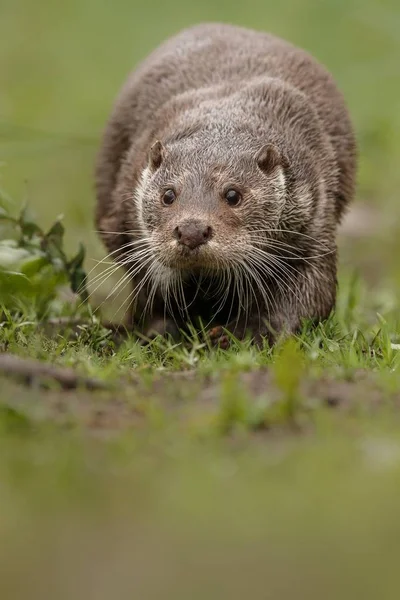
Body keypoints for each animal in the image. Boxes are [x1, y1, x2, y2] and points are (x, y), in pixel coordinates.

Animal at [94, 22, 356, 346]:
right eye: (168, 195)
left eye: (233, 195)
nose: (192, 230)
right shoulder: (122, 220)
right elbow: (147, 283)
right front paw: (161, 328)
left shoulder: (313, 218)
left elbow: (311, 293)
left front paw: (245, 333)